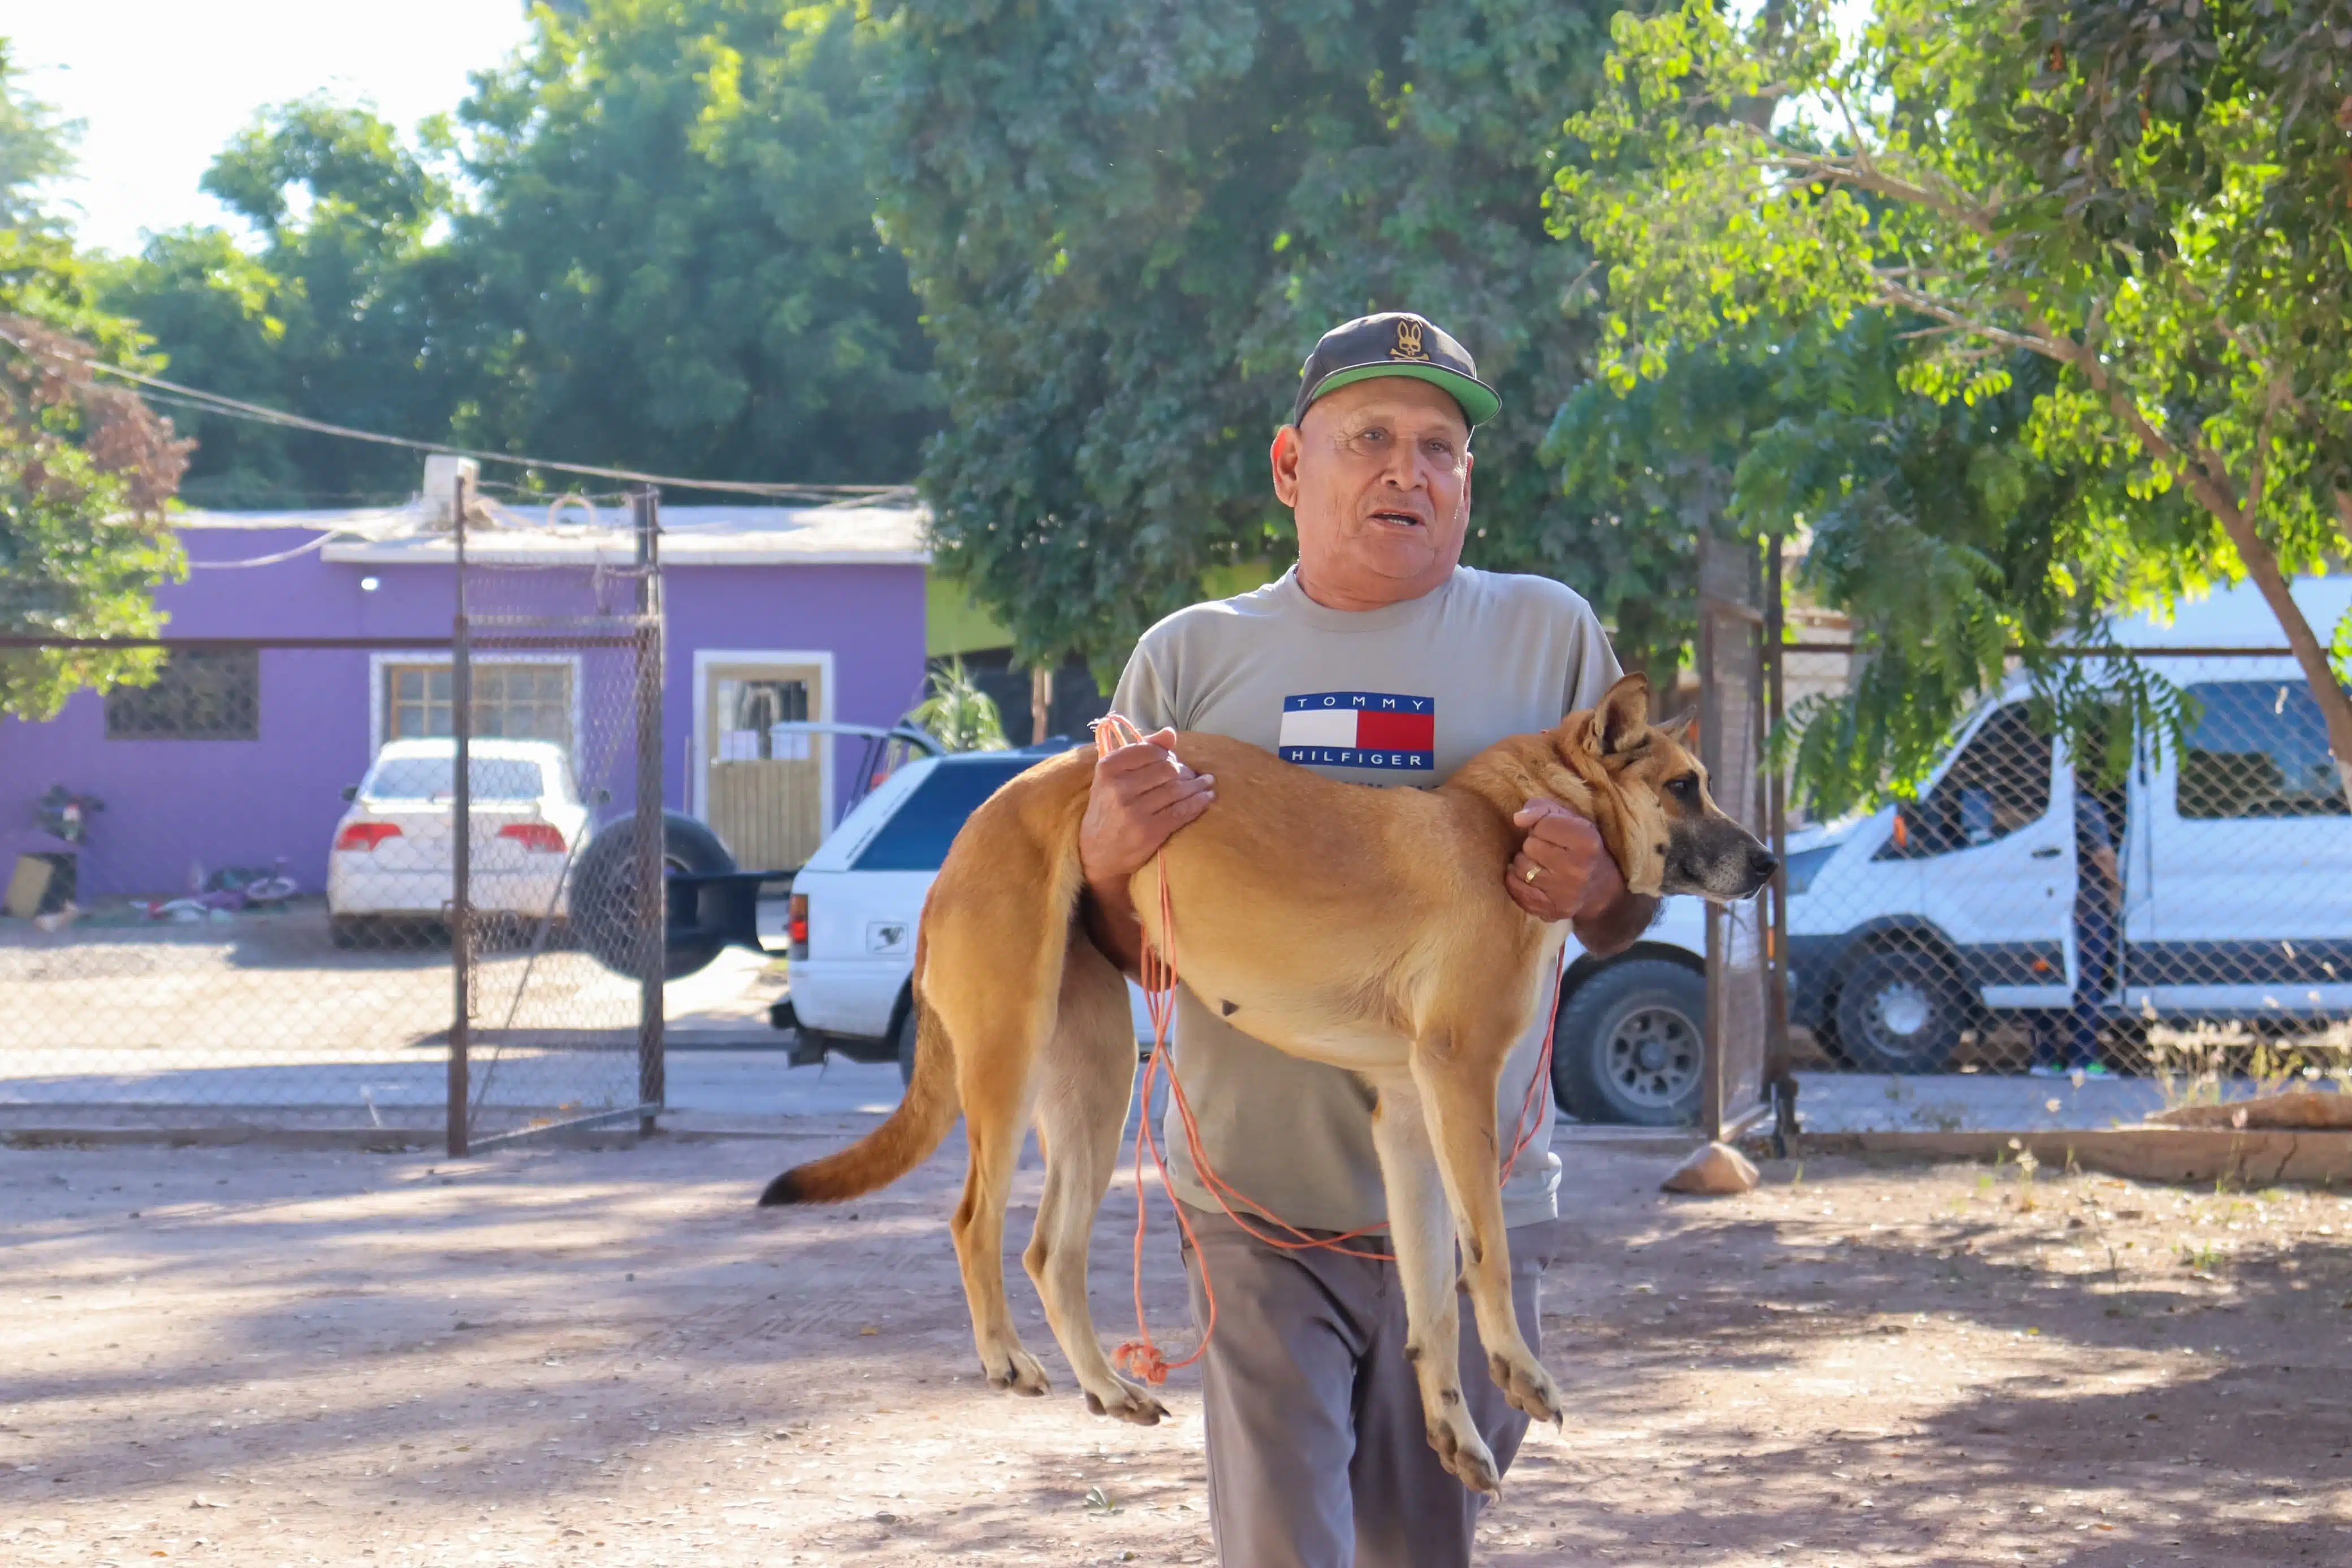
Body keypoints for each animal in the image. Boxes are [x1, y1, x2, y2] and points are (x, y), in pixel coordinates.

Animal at [762, 677, 1769, 1495]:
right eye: (1685, 784)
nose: (1765, 864)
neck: (1507, 822)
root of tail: (979, 822)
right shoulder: (1458, 1082)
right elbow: (1485, 1257)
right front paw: (1519, 1372)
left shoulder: (1410, 1116)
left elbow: (1432, 1294)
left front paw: (1454, 1427)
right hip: (1008, 1061)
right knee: (974, 1220)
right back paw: (1006, 1357)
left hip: (1092, 1084)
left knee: (1051, 1251)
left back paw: (1108, 1385)